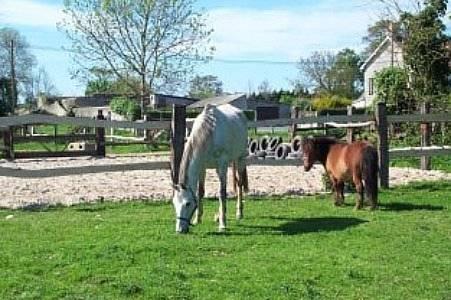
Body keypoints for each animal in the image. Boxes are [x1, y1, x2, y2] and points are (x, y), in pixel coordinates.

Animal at [173, 104, 251, 233]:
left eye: (188, 203)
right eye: (174, 203)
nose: (180, 230)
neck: (209, 134)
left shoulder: (222, 166)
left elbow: (222, 193)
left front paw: (222, 224)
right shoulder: (202, 167)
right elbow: (200, 192)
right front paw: (197, 219)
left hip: (240, 158)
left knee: (239, 185)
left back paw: (239, 213)